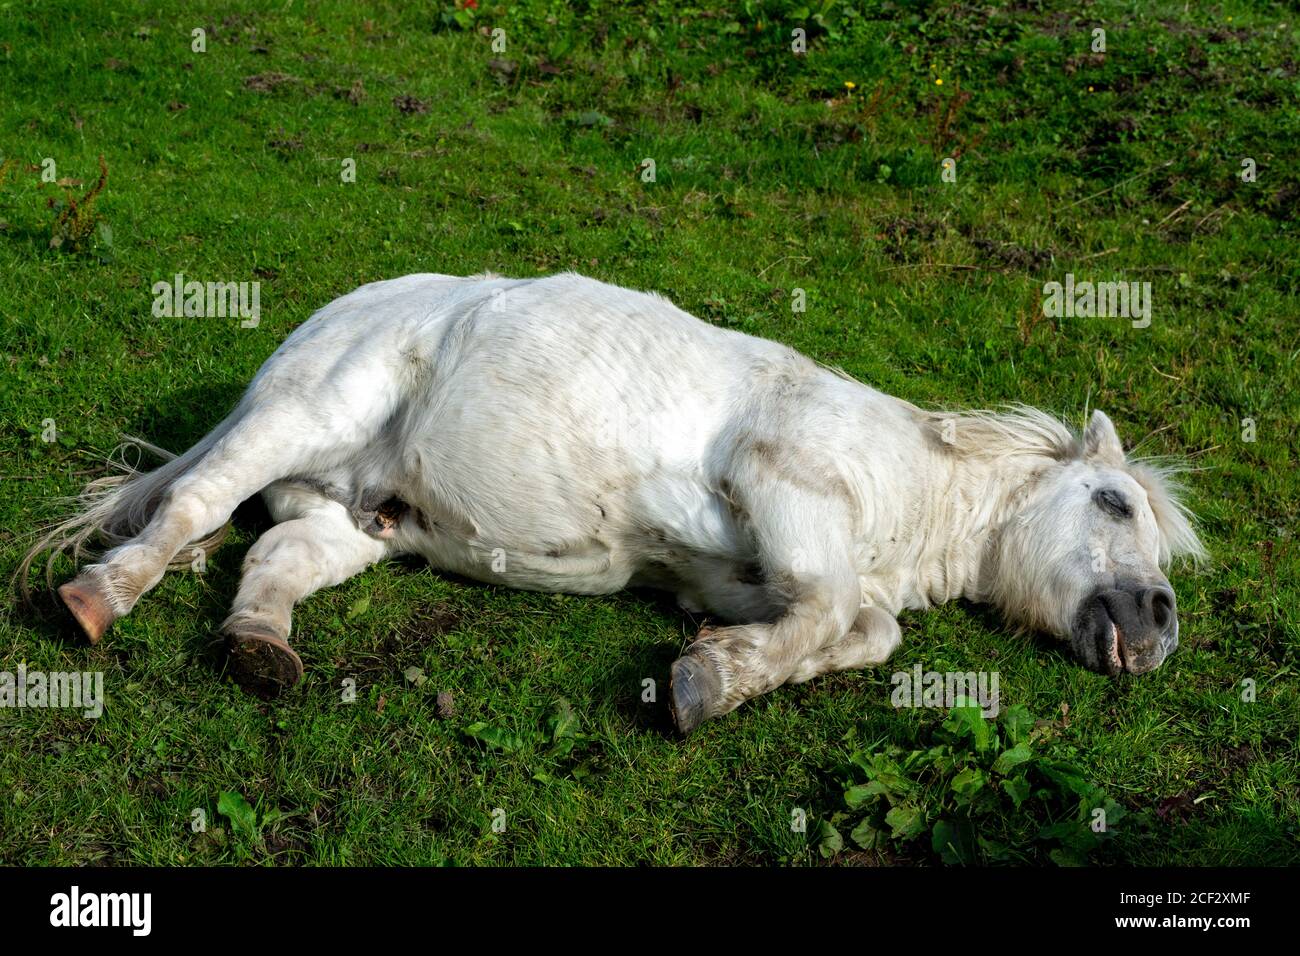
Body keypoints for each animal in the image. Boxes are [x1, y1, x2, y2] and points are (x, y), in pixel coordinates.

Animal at [20, 272, 1207, 733]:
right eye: (1111, 501)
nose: (1157, 623)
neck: (897, 481)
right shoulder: (778, 484)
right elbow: (842, 615)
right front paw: (698, 686)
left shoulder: (761, 571)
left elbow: (862, 630)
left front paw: (719, 661)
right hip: (306, 414)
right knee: (189, 506)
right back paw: (94, 599)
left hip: (355, 520)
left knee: (266, 560)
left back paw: (260, 648)